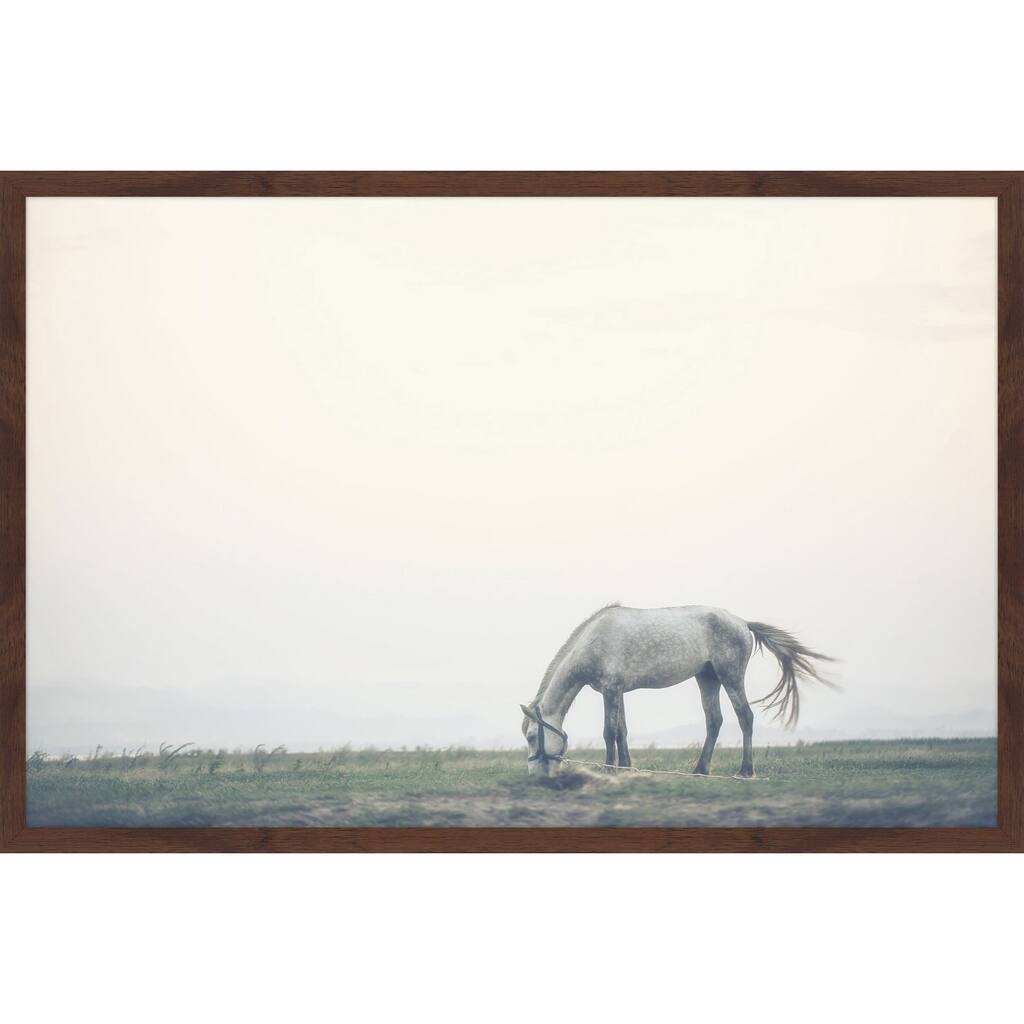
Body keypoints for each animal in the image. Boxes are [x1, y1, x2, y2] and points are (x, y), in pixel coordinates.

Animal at [520, 604, 834, 778]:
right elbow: (621, 731)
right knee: (714, 721)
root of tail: (742, 623)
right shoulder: (618, 692)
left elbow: (609, 732)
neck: (594, 640)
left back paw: (745, 771)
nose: (535, 774)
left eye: (533, 736)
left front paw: (609, 769)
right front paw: (626, 767)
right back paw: (700, 770)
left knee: (745, 717)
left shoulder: (610, 690)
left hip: (729, 676)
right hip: (707, 678)